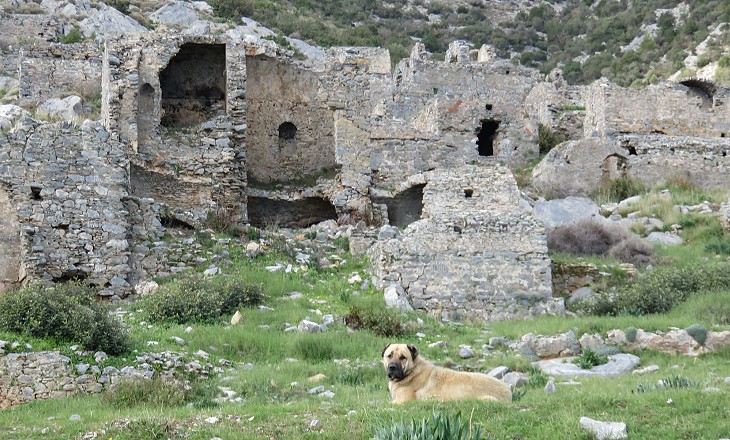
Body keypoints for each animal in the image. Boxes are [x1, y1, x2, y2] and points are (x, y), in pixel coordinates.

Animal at [382, 343, 512, 404]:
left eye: (403, 357)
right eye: (389, 355)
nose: (392, 367)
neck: (412, 371)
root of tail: (508, 392)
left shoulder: (403, 401)